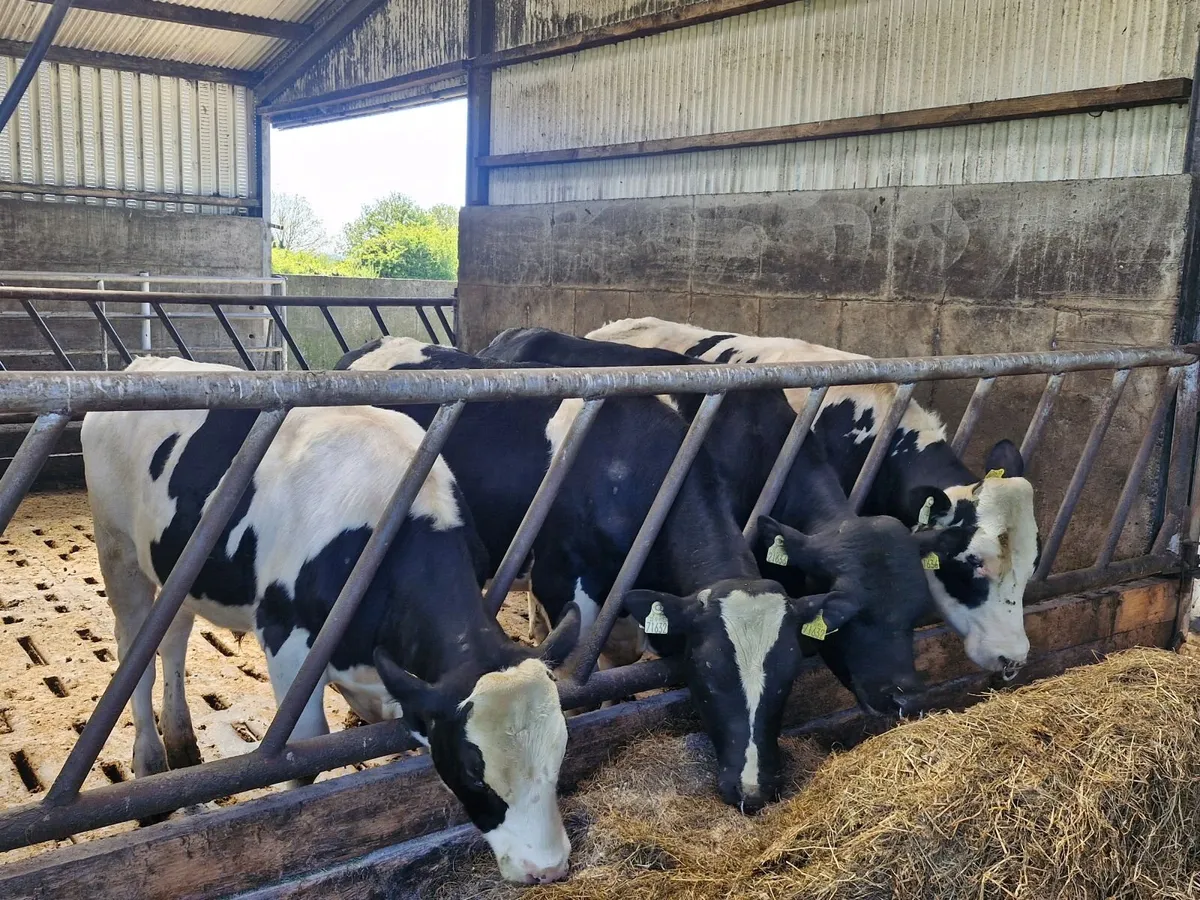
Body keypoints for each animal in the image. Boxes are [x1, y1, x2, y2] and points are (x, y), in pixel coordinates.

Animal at [81, 356, 582, 884]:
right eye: (471, 772)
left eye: (561, 750)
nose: (547, 867)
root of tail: (147, 364)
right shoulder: (286, 638)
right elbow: (304, 751)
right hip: (117, 548)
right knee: (132, 648)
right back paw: (150, 767)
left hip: (177, 566)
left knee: (172, 638)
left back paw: (182, 747)